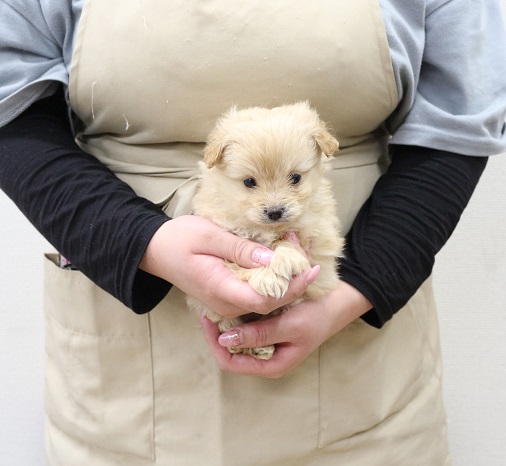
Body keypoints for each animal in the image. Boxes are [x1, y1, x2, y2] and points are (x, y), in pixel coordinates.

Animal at [187, 101, 344, 360]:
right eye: (249, 182)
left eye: (295, 177)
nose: (275, 212)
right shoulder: (222, 229)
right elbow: (241, 259)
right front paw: (266, 277)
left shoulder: (314, 228)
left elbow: (288, 240)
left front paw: (283, 258)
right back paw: (244, 344)